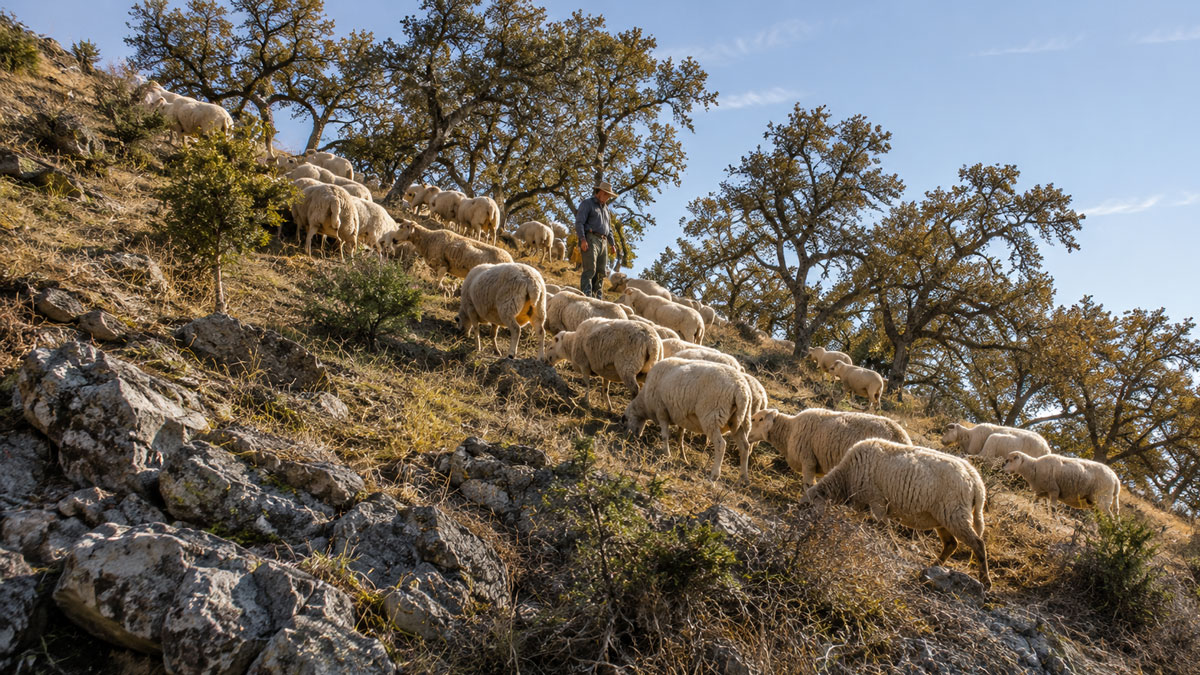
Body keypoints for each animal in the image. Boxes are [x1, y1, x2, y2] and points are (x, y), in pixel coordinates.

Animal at [625, 357, 754, 483]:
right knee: (745, 447)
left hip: (712, 417)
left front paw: (667, 454)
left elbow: (665, 436)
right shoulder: (681, 416)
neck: (645, 403)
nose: (629, 439)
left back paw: (714, 475)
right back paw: (744, 478)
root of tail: (741, 389)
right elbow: (680, 437)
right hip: (739, 421)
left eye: (625, 420)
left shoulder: (661, 411)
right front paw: (683, 458)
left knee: (721, 444)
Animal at [749, 407, 911, 486]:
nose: (748, 435)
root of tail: (902, 437)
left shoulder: (808, 460)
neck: (789, 431)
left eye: (758, 419)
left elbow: (808, 485)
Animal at [805, 438, 990, 589]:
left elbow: (884, 528)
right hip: (944, 517)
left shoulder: (877, 500)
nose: (807, 532)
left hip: (955, 513)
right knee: (951, 544)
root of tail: (976, 480)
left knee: (978, 543)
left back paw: (985, 581)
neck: (846, 477)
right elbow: (859, 522)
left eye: (807, 506)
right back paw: (934, 566)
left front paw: (892, 548)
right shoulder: (861, 504)